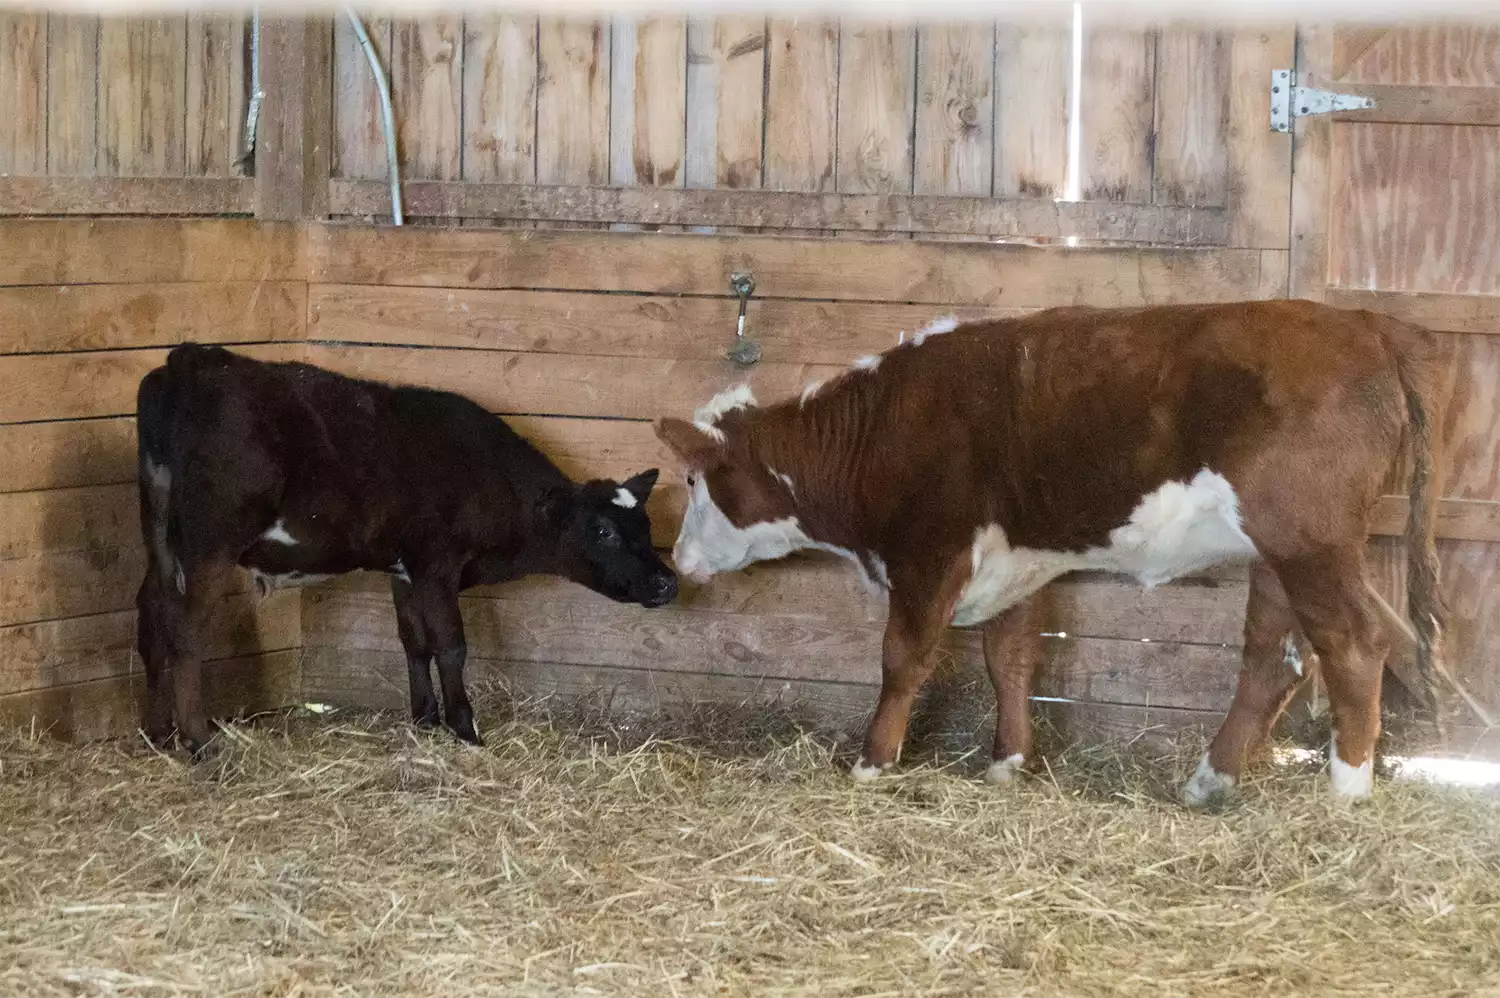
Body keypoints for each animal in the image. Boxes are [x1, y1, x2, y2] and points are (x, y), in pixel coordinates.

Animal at [138, 345, 678, 756]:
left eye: (646, 523)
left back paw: (157, 731)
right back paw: (198, 741)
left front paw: (425, 718)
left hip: (159, 539)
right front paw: (466, 727)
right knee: (184, 630)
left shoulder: (405, 569)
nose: (666, 582)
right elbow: (451, 645)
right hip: (211, 543)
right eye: (603, 530)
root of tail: (193, 358)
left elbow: (414, 640)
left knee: (151, 616)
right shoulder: (437, 563)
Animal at [660, 301, 1452, 804]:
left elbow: (903, 657)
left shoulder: (930, 550)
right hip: (1278, 554)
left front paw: (872, 763)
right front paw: (1008, 762)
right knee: (1271, 660)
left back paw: (1347, 790)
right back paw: (1209, 782)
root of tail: (1368, 325)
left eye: (695, 480)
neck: (882, 429)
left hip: (1312, 542)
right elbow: (1008, 656)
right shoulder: (1017, 560)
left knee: (1355, 643)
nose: (678, 559)